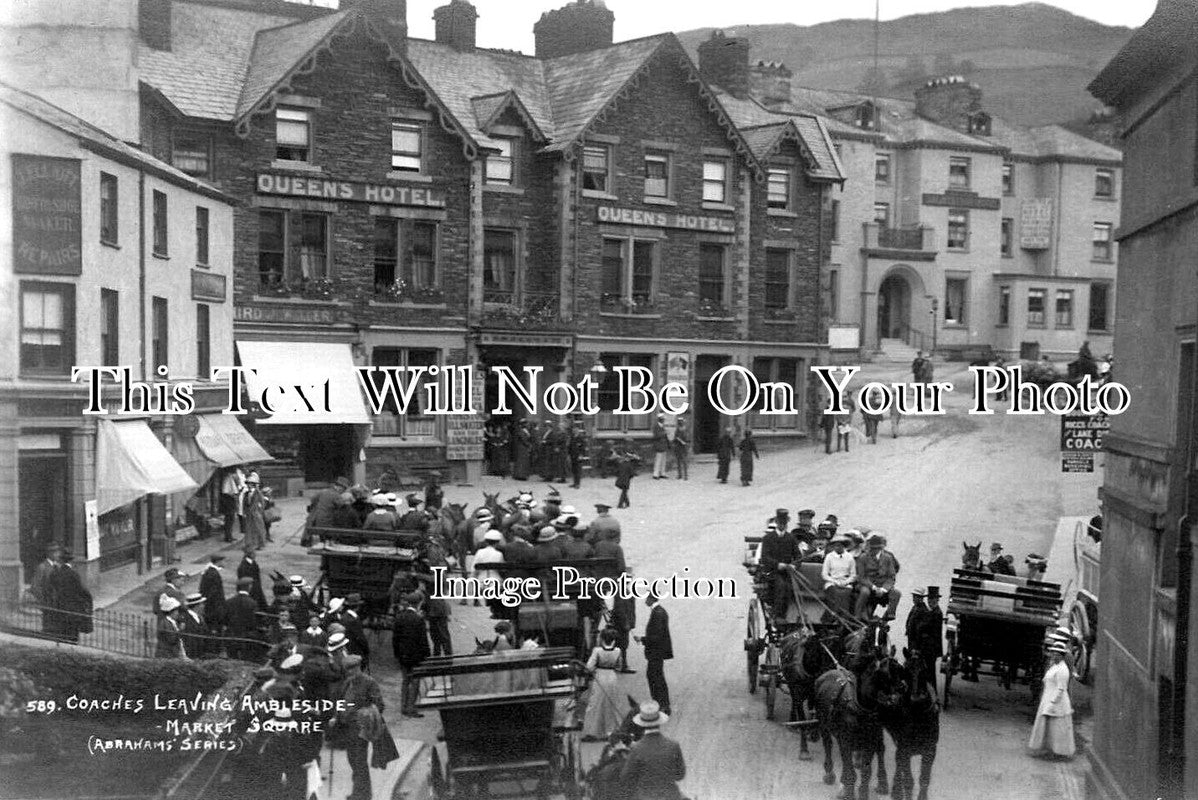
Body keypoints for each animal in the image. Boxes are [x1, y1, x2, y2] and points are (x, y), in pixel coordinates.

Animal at [886, 651, 939, 800]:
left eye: (925, 669)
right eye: (906, 670)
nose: (917, 699)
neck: (918, 715)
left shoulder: (930, 750)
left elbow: (924, 779)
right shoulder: (905, 749)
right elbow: (909, 781)